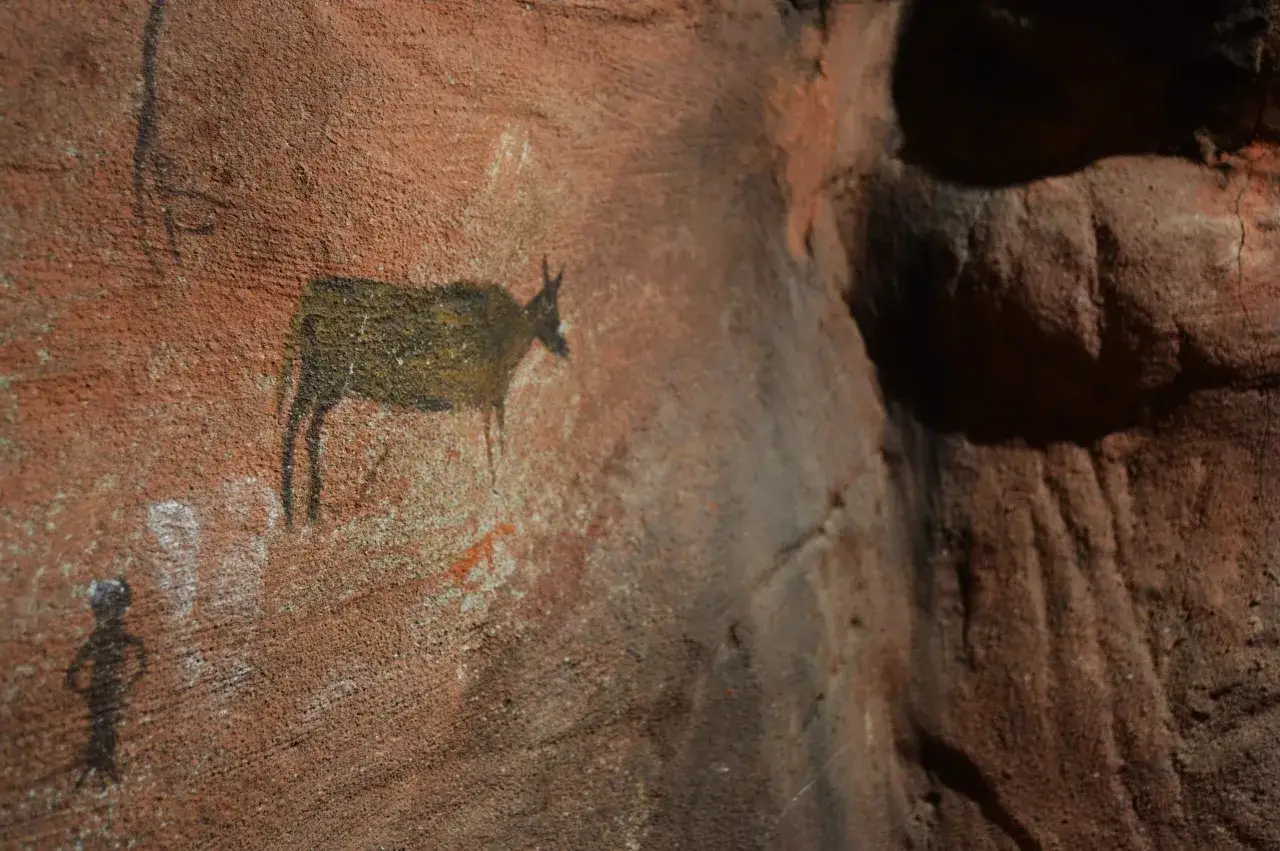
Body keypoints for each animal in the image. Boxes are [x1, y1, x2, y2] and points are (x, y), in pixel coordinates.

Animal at [276, 257, 569, 528]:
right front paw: (497, 490)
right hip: (327, 380)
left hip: (317, 379)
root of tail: (312, 294)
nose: (564, 347)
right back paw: (299, 507)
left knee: (301, 424)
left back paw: (302, 507)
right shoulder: (492, 400)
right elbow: (496, 446)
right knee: (298, 424)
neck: (513, 332)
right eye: (548, 310)